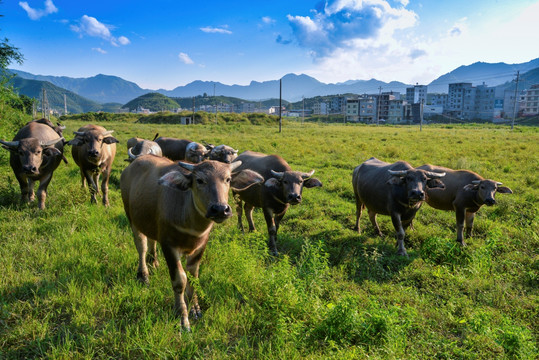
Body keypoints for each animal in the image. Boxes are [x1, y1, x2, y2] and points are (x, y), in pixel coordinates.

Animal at [122, 156, 266, 330]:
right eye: (200, 180)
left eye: (228, 179)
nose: (220, 209)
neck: (191, 224)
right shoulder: (169, 246)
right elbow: (180, 280)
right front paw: (182, 317)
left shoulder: (200, 247)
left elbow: (193, 277)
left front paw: (195, 309)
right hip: (131, 217)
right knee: (141, 246)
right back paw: (143, 275)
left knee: (151, 240)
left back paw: (153, 262)